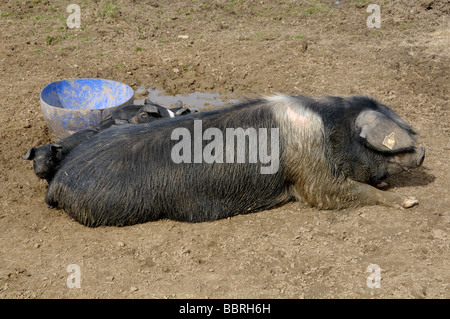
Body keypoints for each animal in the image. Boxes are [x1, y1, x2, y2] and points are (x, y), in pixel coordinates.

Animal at [44, 95, 424, 228]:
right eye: (391, 146)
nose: (423, 153)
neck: (330, 129)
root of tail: (59, 180)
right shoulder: (312, 175)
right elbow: (336, 192)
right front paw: (409, 201)